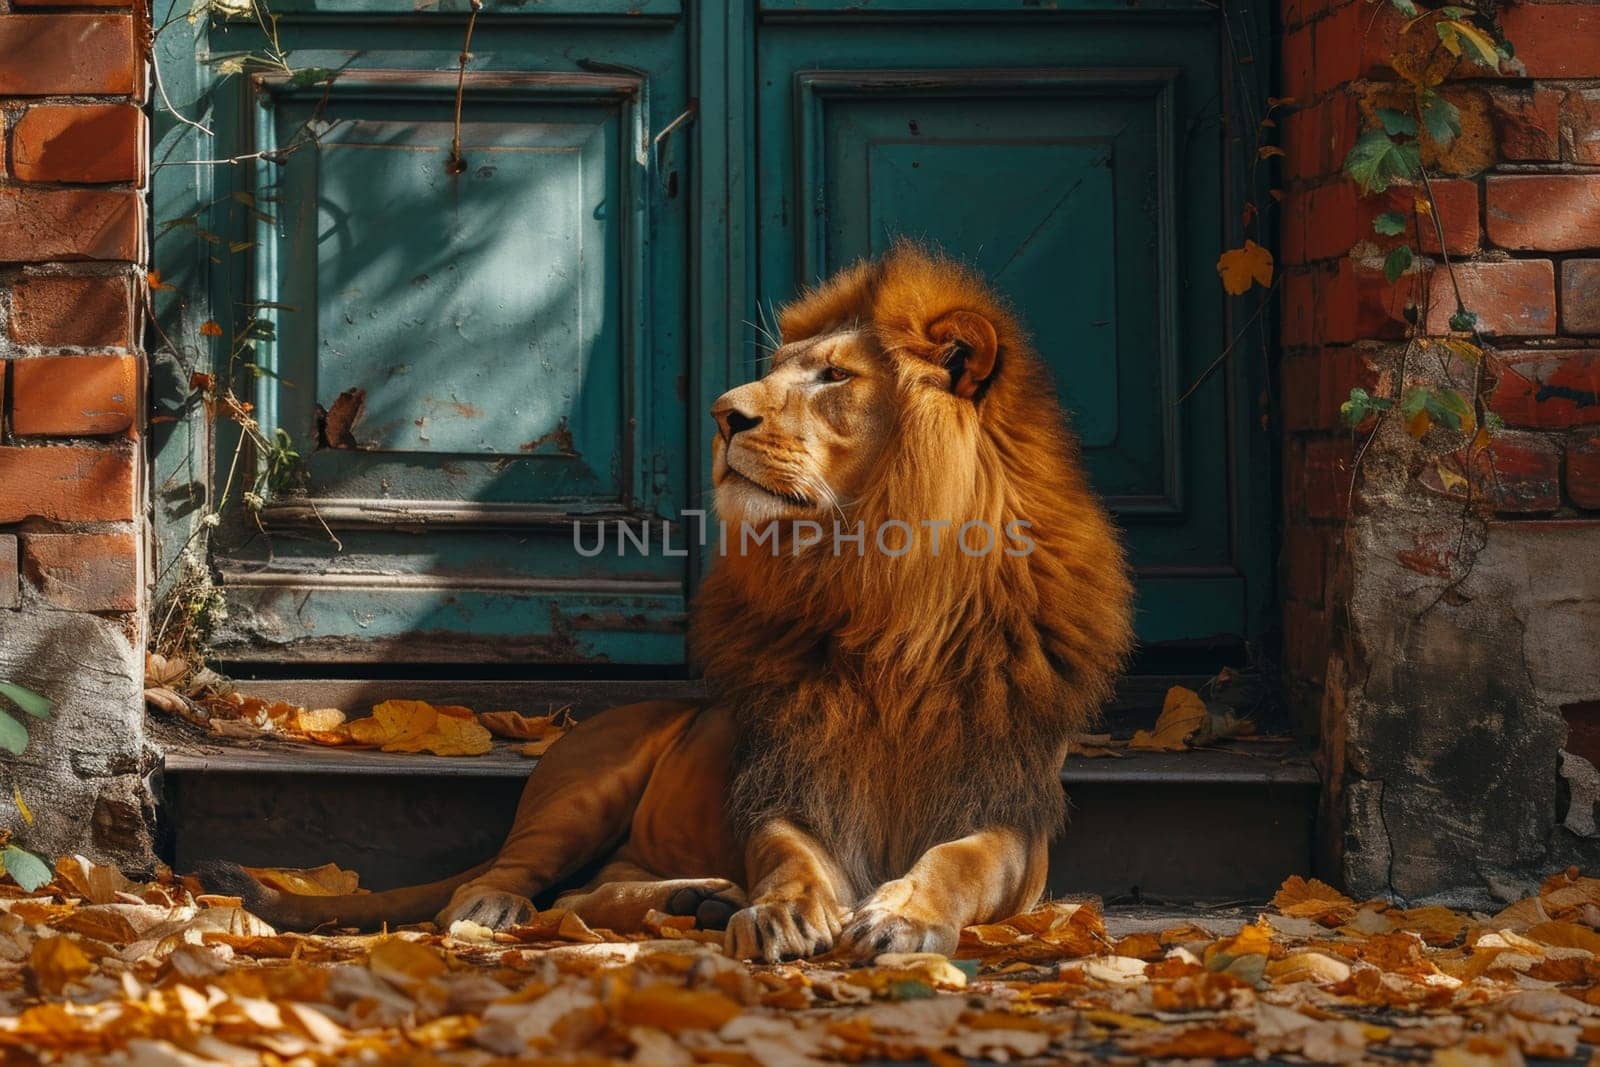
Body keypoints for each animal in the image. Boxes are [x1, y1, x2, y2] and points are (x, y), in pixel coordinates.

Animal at [209, 246, 1139, 966]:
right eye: (774, 372)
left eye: (835, 376)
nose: (724, 413)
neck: (882, 596)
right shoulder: (784, 779)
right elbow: (790, 853)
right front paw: (785, 909)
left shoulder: (1013, 816)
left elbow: (959, 861)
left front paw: (904, 917)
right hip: (583, 788)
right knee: (522, 883)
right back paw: (515, 907)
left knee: (590, 895)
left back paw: (700, 898)